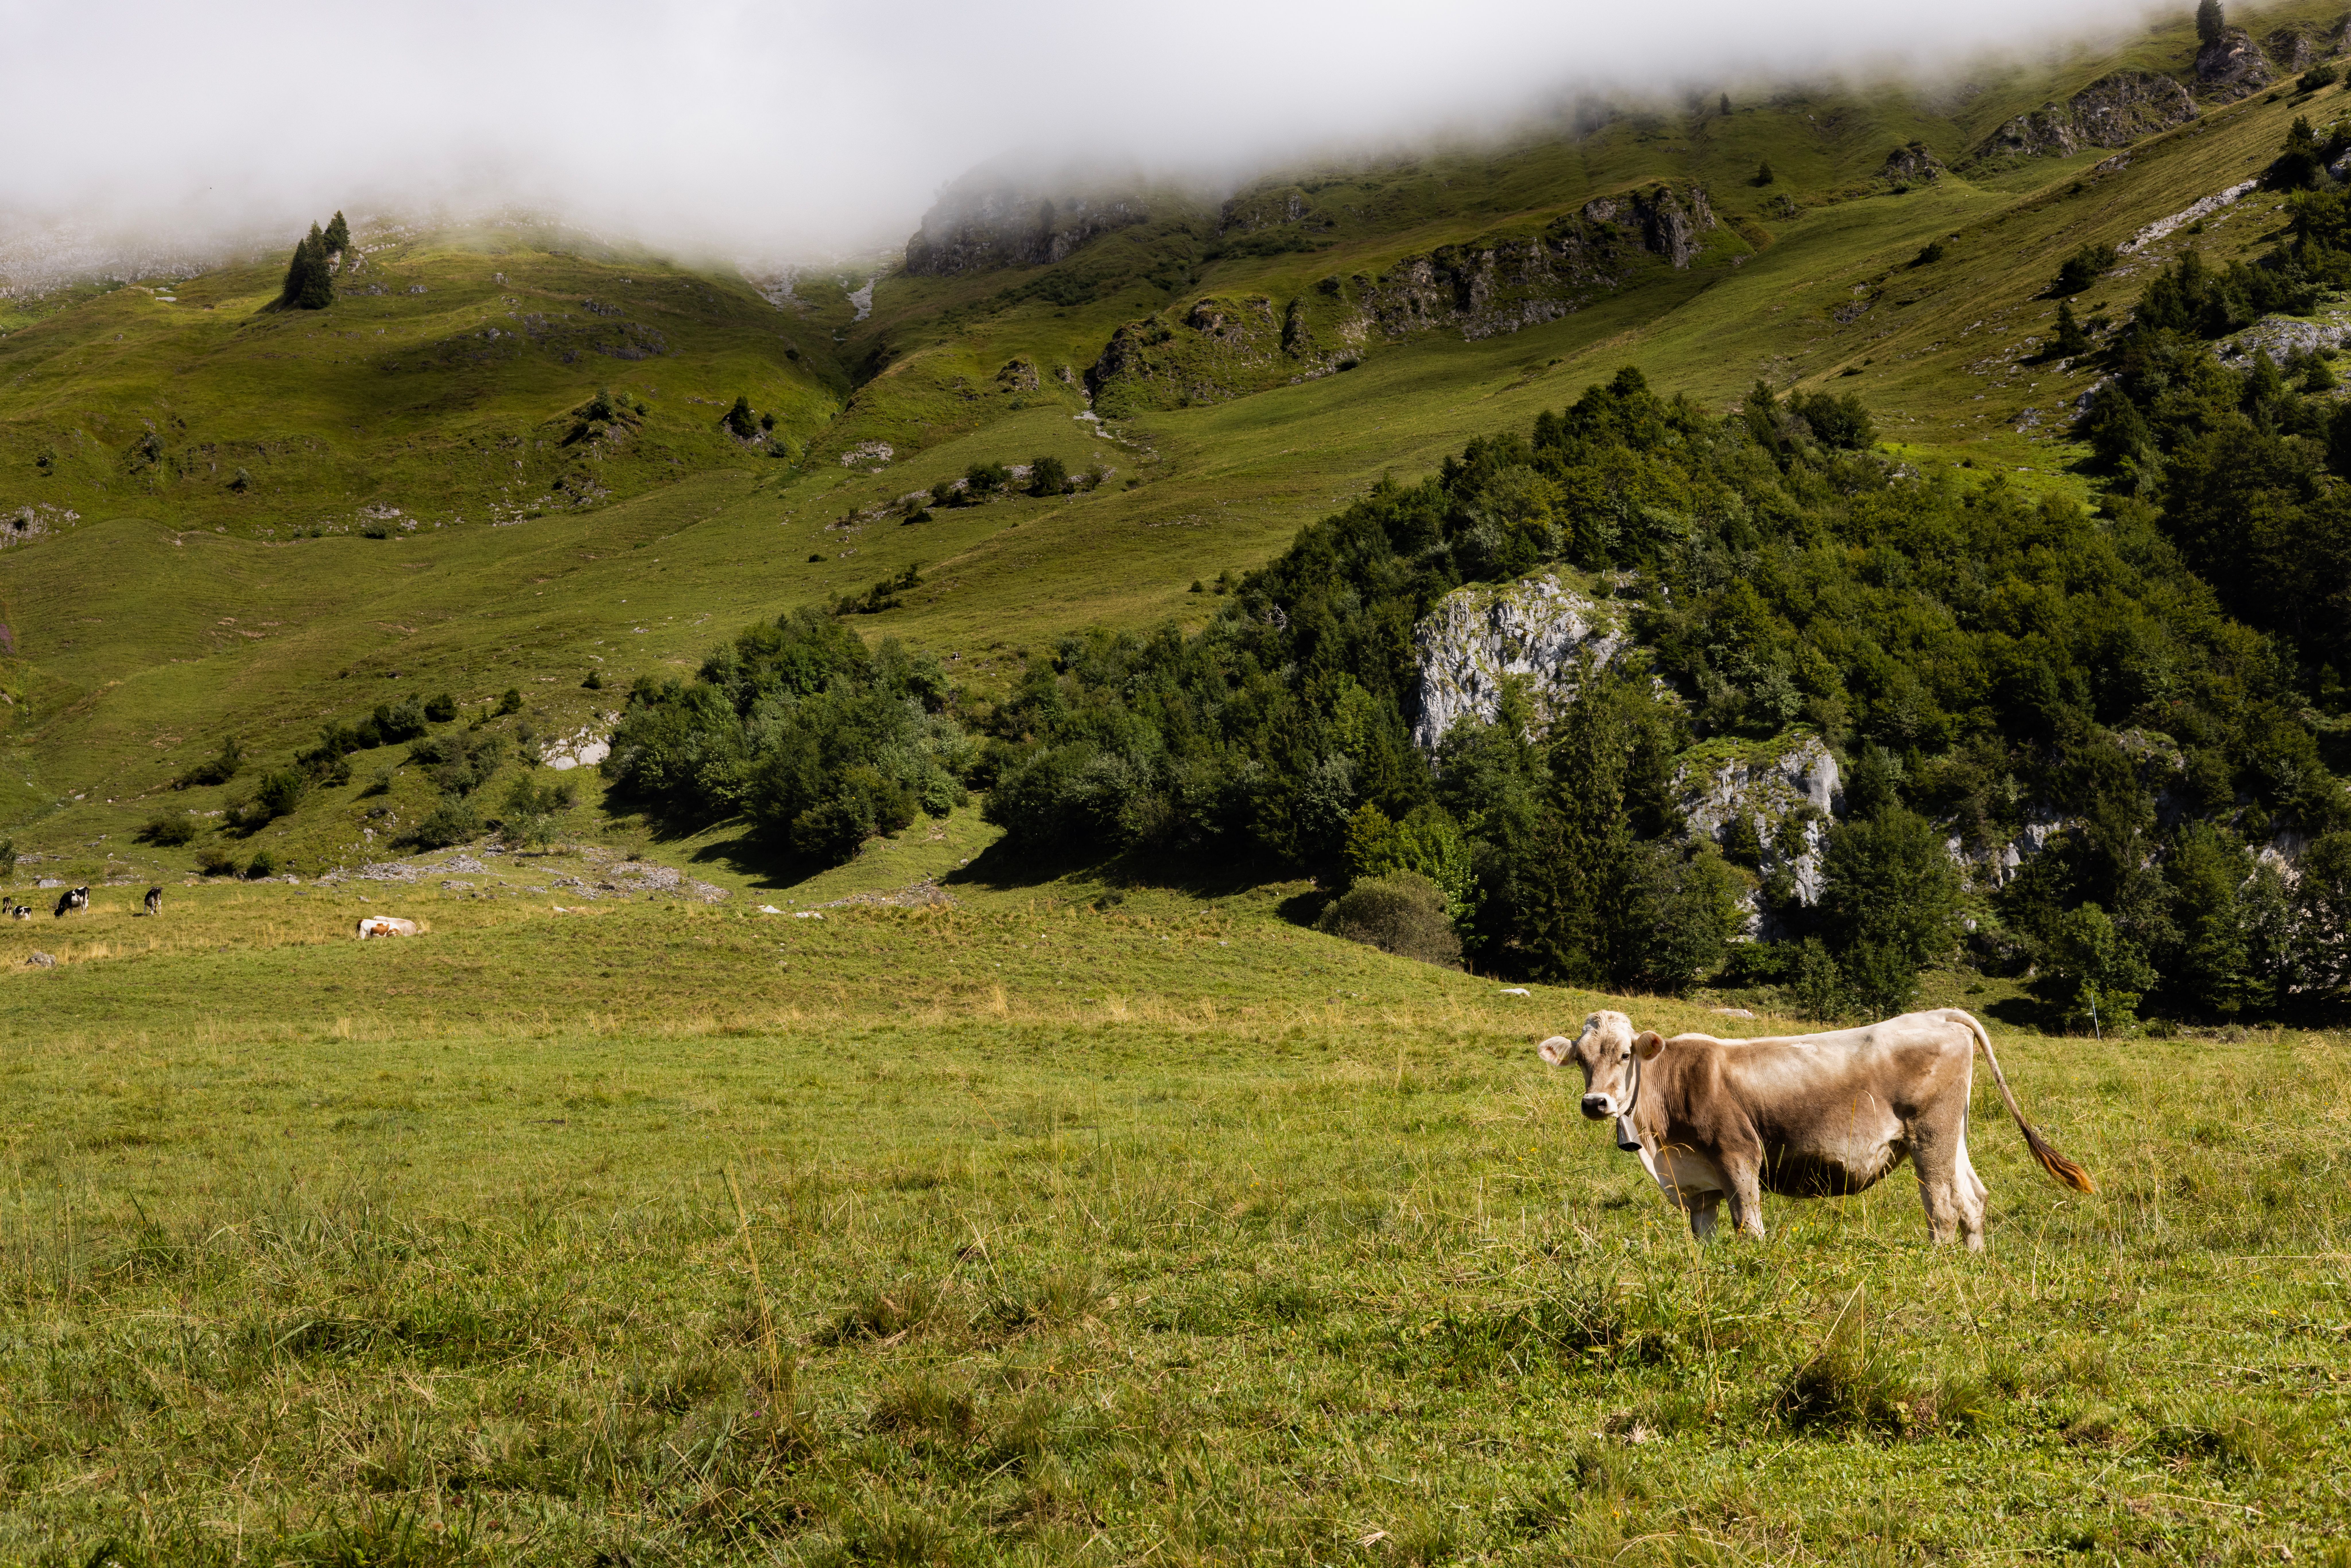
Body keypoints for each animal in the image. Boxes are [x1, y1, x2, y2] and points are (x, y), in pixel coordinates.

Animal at [1536, 1008, 2094, 1250]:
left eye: (1625, 1055)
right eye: (1581, 1059)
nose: (1596, 1102)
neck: (1661, 1149)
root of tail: (1937, 1014)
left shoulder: (1739, 1154)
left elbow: (1749, 1222)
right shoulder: (1696, 1182)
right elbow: (1705, 1236)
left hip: (1929, 1135)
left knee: (1942, 1207)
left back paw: (1938, 1266)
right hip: (1953, 1133)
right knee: (1972, 1199)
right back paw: (1972, 1262)